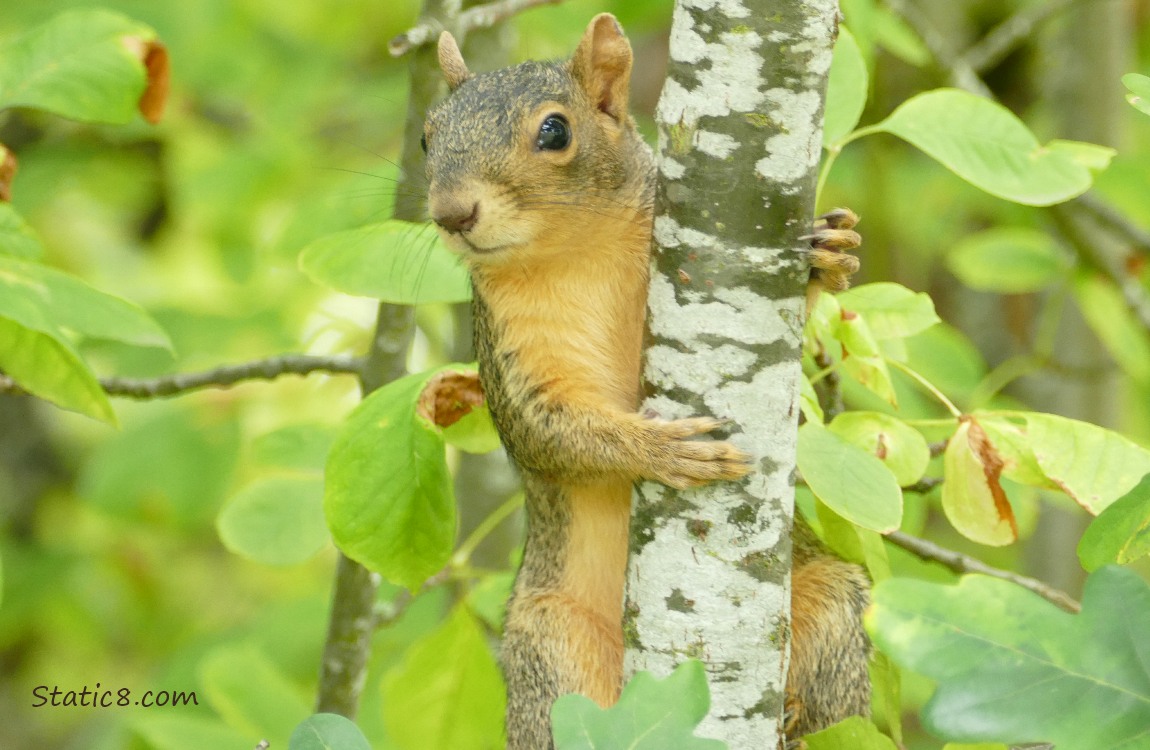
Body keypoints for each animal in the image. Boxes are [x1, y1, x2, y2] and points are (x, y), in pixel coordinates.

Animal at [422, 14, 868, 749]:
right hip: (548, 646)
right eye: (427, 136)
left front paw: (827, 258)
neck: (577, 251)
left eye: (555, 131)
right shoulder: (511, 355)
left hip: (830, 597)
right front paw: (661, 450)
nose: (452, 214)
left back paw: (795, 718)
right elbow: (548, 433)